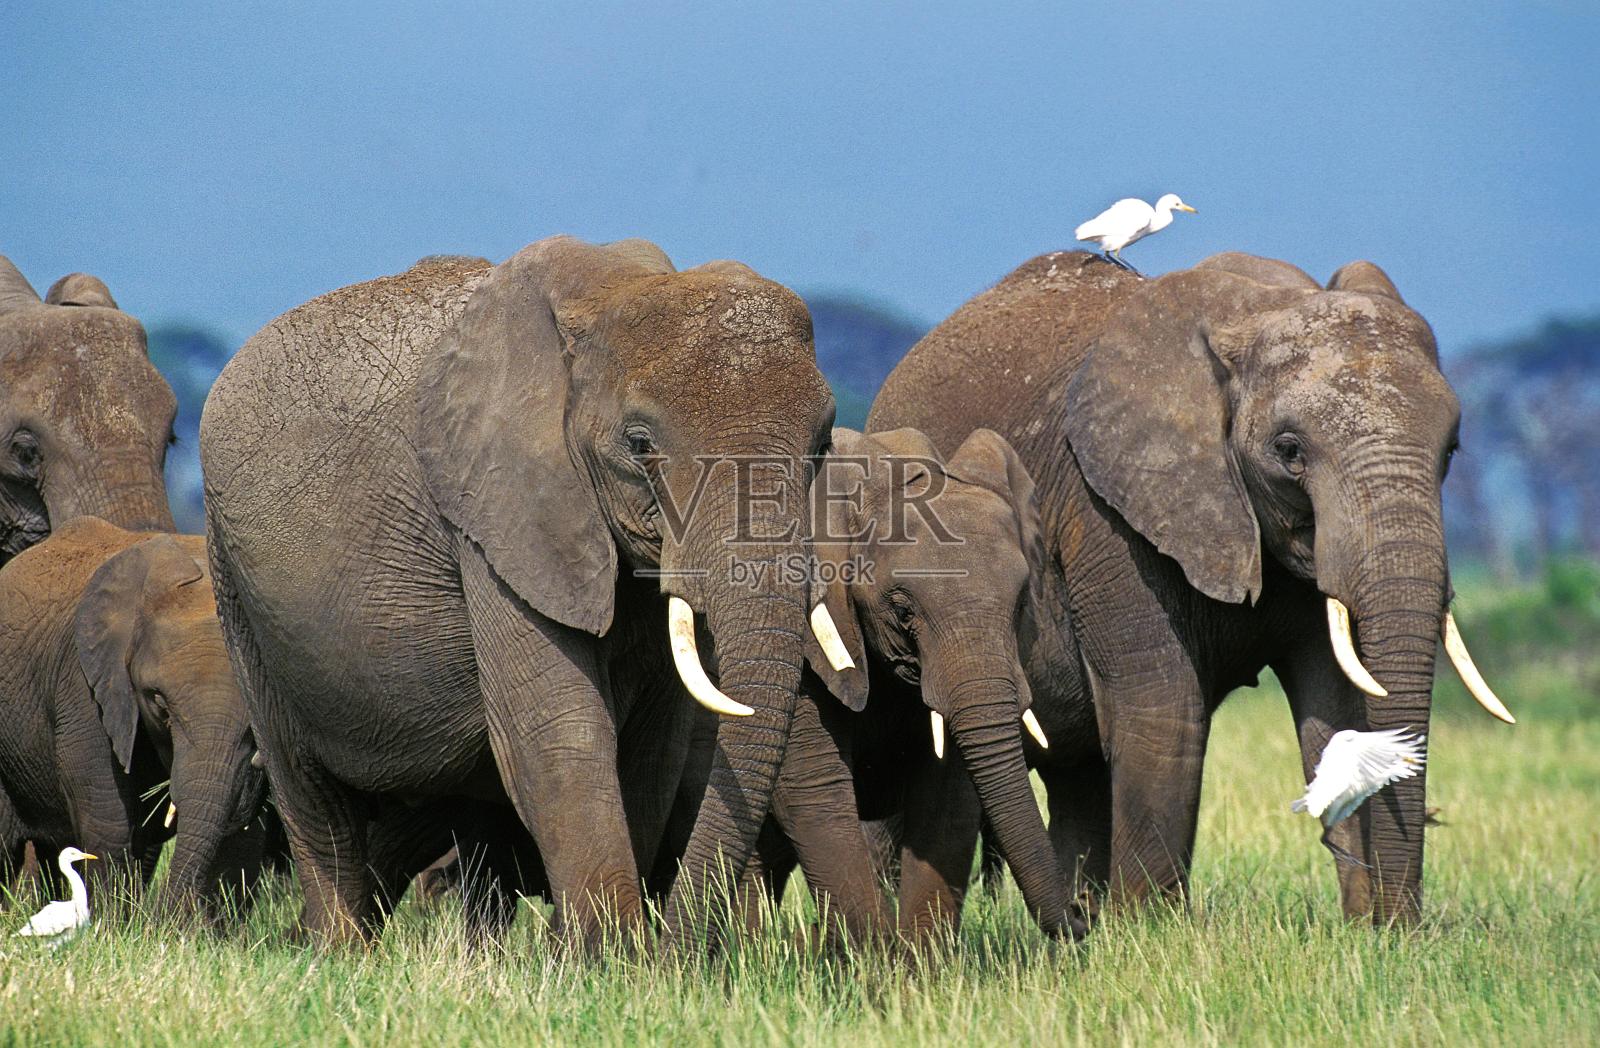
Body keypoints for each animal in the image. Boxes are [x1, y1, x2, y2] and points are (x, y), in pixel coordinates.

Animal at [199, 240, 841, 950]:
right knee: (309, 794)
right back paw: (339, 952)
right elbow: (557, 731)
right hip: (234, 582)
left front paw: (602, 955)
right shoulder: (494, 519)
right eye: (639, 444)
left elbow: (652, 751)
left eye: (823, 443)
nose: (676, 941)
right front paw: (611, 959)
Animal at [736, 426, 1083, 943]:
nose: (1086, 917)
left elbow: (947, 795)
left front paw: (921, 958)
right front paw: (875, 957)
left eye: (1022, 601)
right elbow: (813, 782)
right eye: (902, 611)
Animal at [867, 250, 1512, 926]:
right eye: (1289, 450)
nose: (1403, 926)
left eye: (1452, 449)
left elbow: (1338, 706)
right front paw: (1151, 937)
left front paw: (1368, 933)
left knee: (1078, 773)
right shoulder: (1105, 507)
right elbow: (1163, 703)